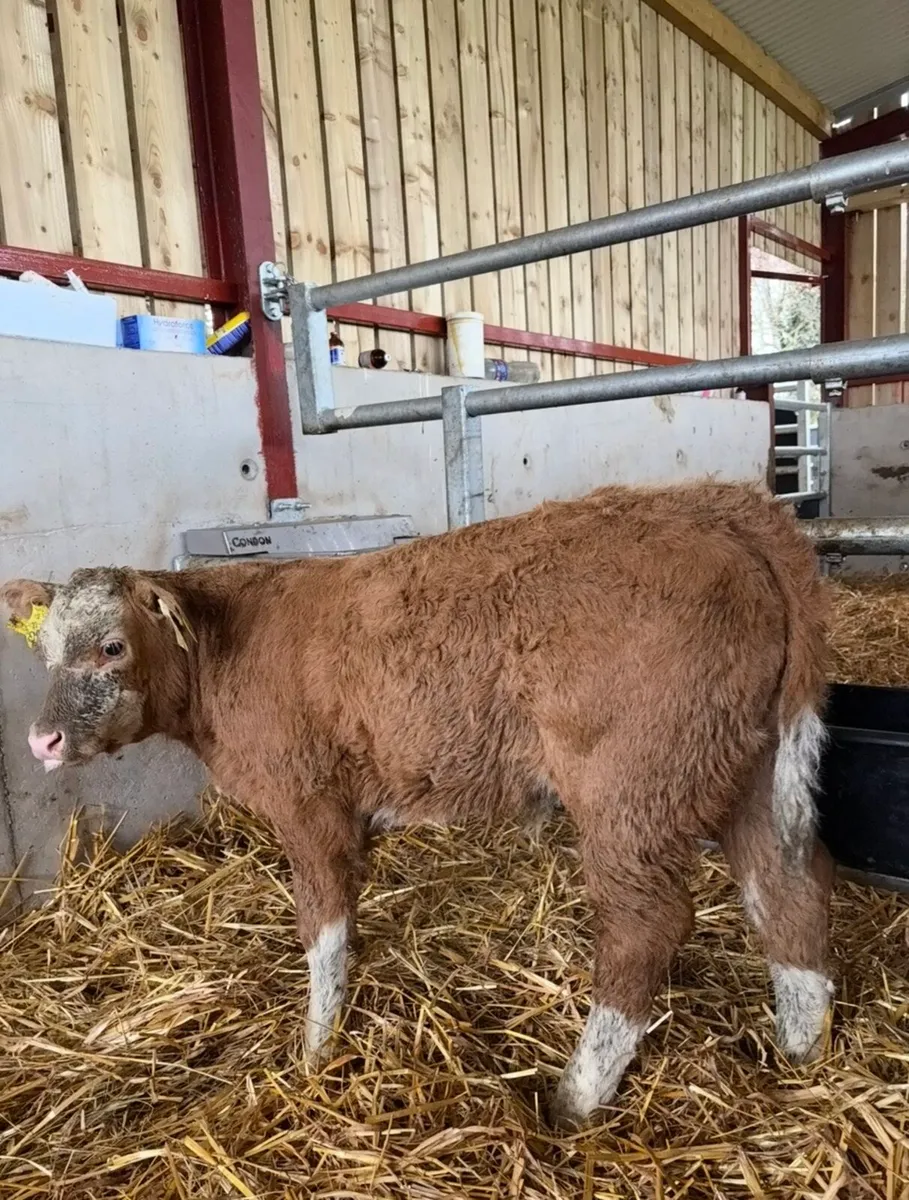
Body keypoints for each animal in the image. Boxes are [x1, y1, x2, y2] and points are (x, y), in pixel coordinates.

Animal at [1, 481, 833, 1127]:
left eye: (112, 646)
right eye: (43, 650)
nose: (42, 740)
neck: (226, 646)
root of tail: (708, 508)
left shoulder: (309, 804)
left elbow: (322, 930)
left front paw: (315, 1050)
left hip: (630, 791)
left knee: (644, 928)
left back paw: (578, 1095)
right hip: (750, 771)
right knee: (785, 888)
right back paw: (800, 1050)